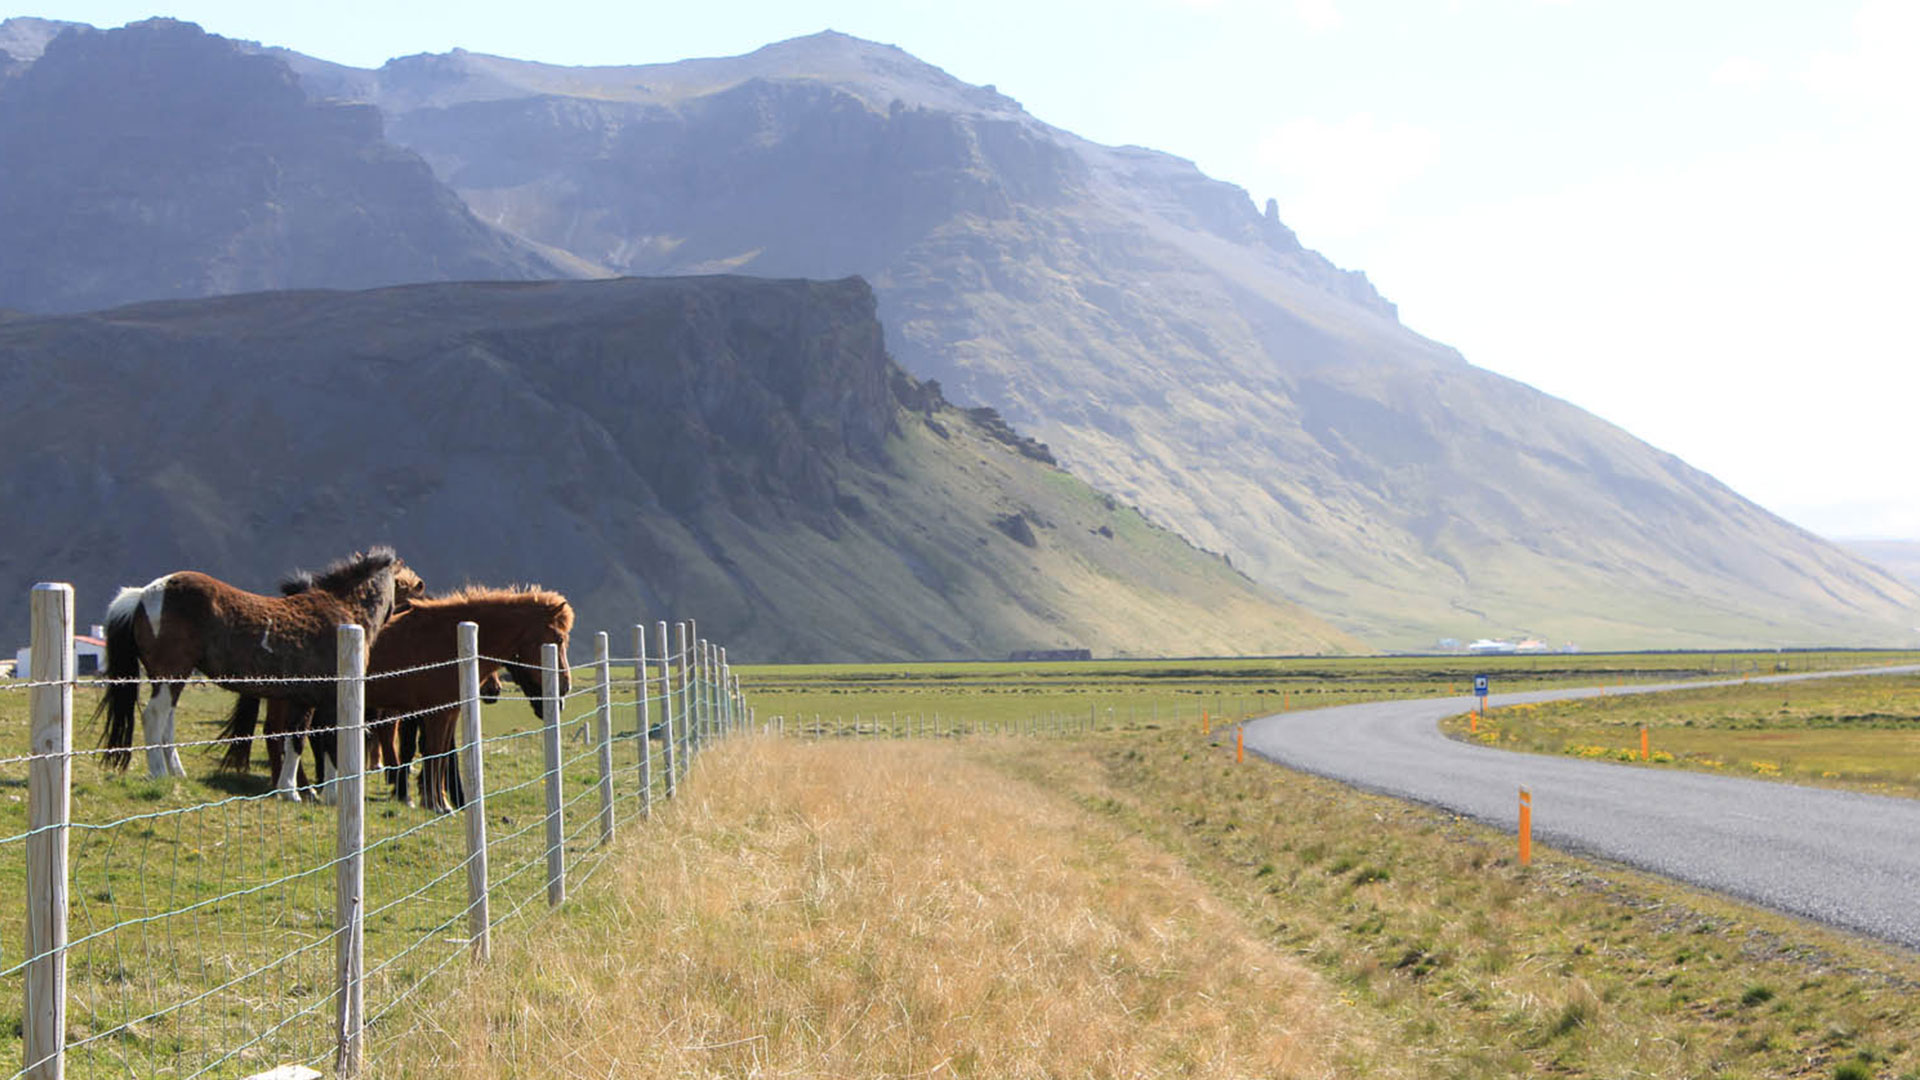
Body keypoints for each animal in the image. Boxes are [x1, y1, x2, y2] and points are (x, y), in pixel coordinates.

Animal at [97, 545, 424, 772]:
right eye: (407, 584)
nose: (422, 590)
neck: (343, 610)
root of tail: (144, 594)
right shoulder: (331, 699)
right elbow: (330, 745)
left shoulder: (303, 699)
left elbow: (295, 743)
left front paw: (292, 792)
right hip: (171, 675)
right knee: (154, 717)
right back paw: (160, 774)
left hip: (171, 679)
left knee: (167, 721)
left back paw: (176, 771)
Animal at [222, 580, 568, 807]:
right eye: (558, 638)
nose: (564, 686)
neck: (447, 639)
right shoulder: (434, 713)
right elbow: (433, 754)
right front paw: (436, 804)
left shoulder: (446, 712)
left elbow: (437, 753)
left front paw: (437, 799)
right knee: (281, 734)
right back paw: (294, 788)